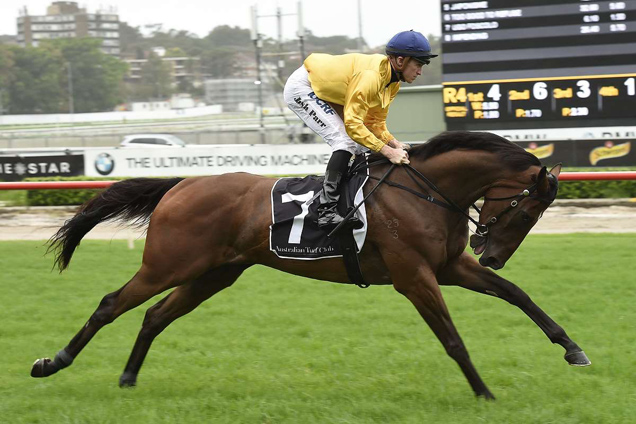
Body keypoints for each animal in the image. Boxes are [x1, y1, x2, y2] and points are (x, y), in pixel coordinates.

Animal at [31, 131, 592, 400]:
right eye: (526, 210)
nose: (491, 252)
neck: (428, 192)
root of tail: (181, 185)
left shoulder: (450, 266)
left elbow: (518, 295)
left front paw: (573, 348)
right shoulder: (414, 276)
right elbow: (452, 338)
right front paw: (483, 390)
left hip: (214, 274)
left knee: (154, 316)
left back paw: (128, 377)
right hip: (168, 264)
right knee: (111, 304)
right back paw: (52, 362)